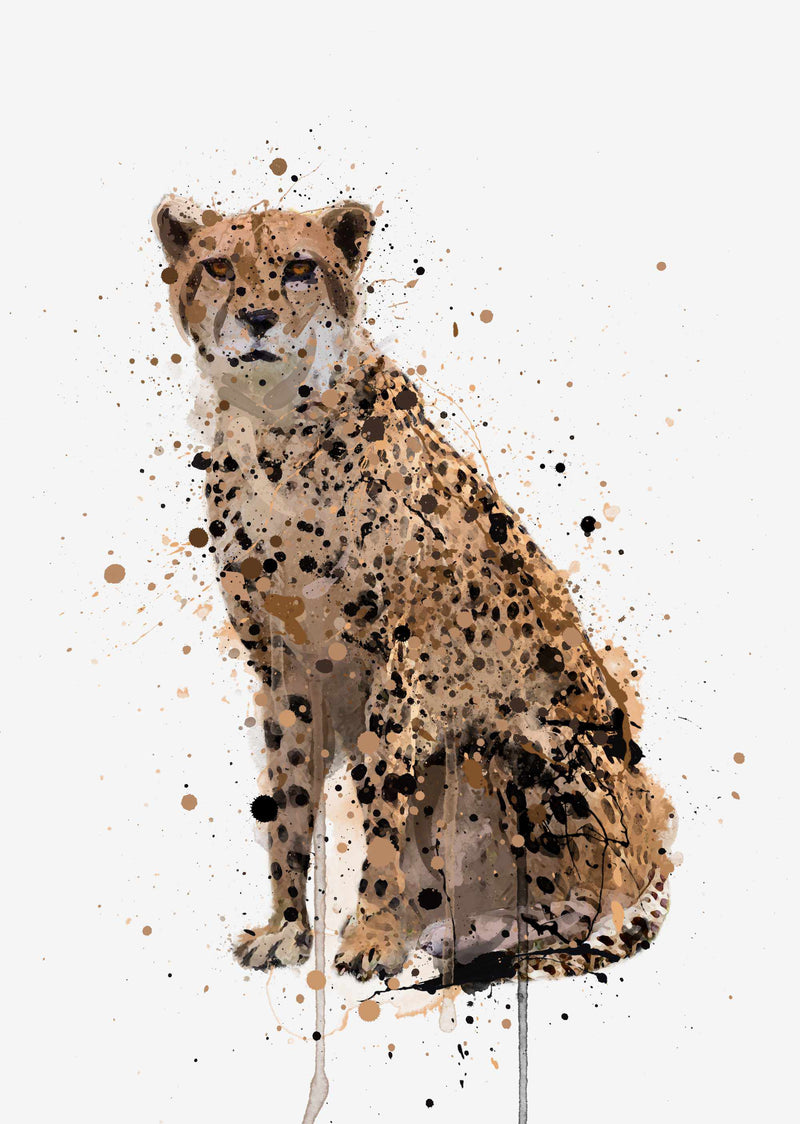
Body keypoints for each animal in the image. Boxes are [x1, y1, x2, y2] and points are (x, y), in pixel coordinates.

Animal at [153, 191, 676, 985]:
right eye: (217, 266)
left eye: (300, 267)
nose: (258, 319)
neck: (278, 433)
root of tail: (658, 851)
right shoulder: (285, 674)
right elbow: (288, 806)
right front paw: (287, 930)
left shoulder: (399, 673)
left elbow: (382, 803)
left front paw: (370, 934)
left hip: (527, 749)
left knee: (590, 920)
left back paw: (489, 939)